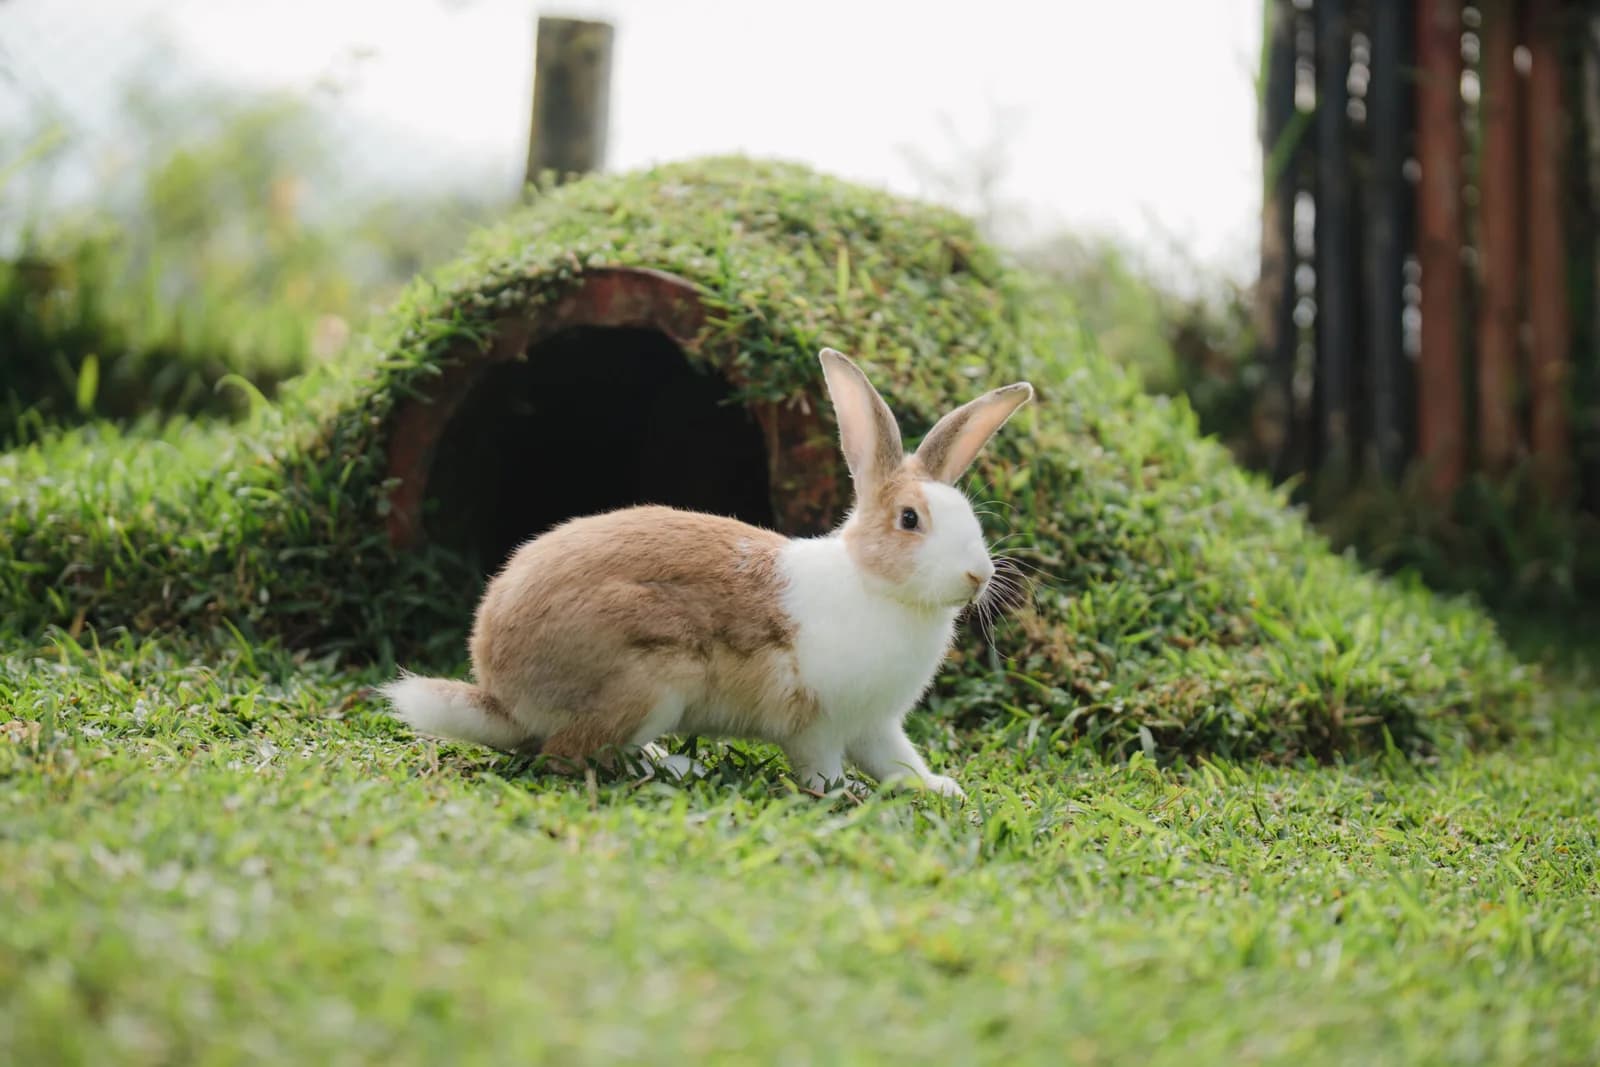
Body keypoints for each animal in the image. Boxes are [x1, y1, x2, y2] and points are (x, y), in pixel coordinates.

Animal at [382, 348, 1033, 799]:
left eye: (967, 514)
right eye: (910, 519)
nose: (978, 576)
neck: (873, 585)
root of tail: (501, 693)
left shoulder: (876, 725)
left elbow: (898, 762)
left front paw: (941, 790)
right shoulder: (817, 724)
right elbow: (820, 764)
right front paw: (838, 793)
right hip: (651, 681)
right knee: (571, 755)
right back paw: (673, 768)